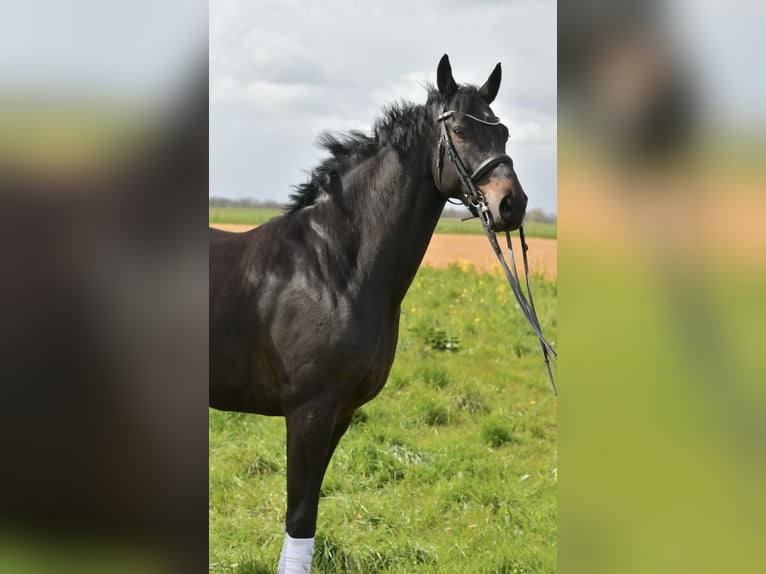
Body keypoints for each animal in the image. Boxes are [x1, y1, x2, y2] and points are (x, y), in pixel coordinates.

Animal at [209, 54, 527, 573]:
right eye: (460, 129)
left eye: (502, 132)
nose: (512, 204)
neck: (334, 266)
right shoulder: (309, 412)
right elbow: (300, 516)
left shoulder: (340, 413)